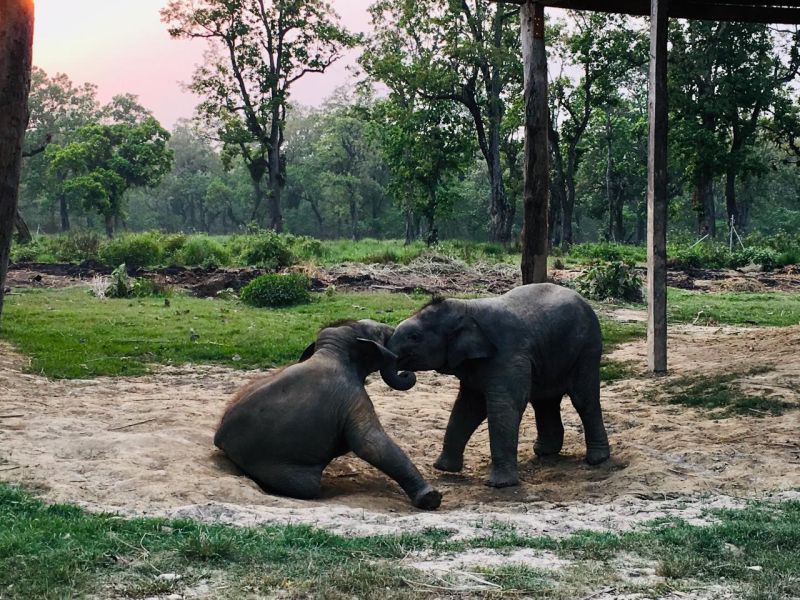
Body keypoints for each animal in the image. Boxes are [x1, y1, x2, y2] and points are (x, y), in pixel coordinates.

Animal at [212, 318, 444, 510]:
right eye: (381, 334)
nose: (407, 372)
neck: (333, 350)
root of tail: (222, 443)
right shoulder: (351, 397)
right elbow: (369, 444)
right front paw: (431, 498)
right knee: (307, 486)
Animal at [386, 284, 608, 488]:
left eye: (415, 337)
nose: (404, 373)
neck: (466, 307)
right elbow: (468, 407)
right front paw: (443, 468)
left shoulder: (508, 355)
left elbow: (504, 406)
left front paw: (499, 484)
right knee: (544, 401)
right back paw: (545, 452)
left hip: (588, 348)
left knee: (583, 398)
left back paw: (597, 459)